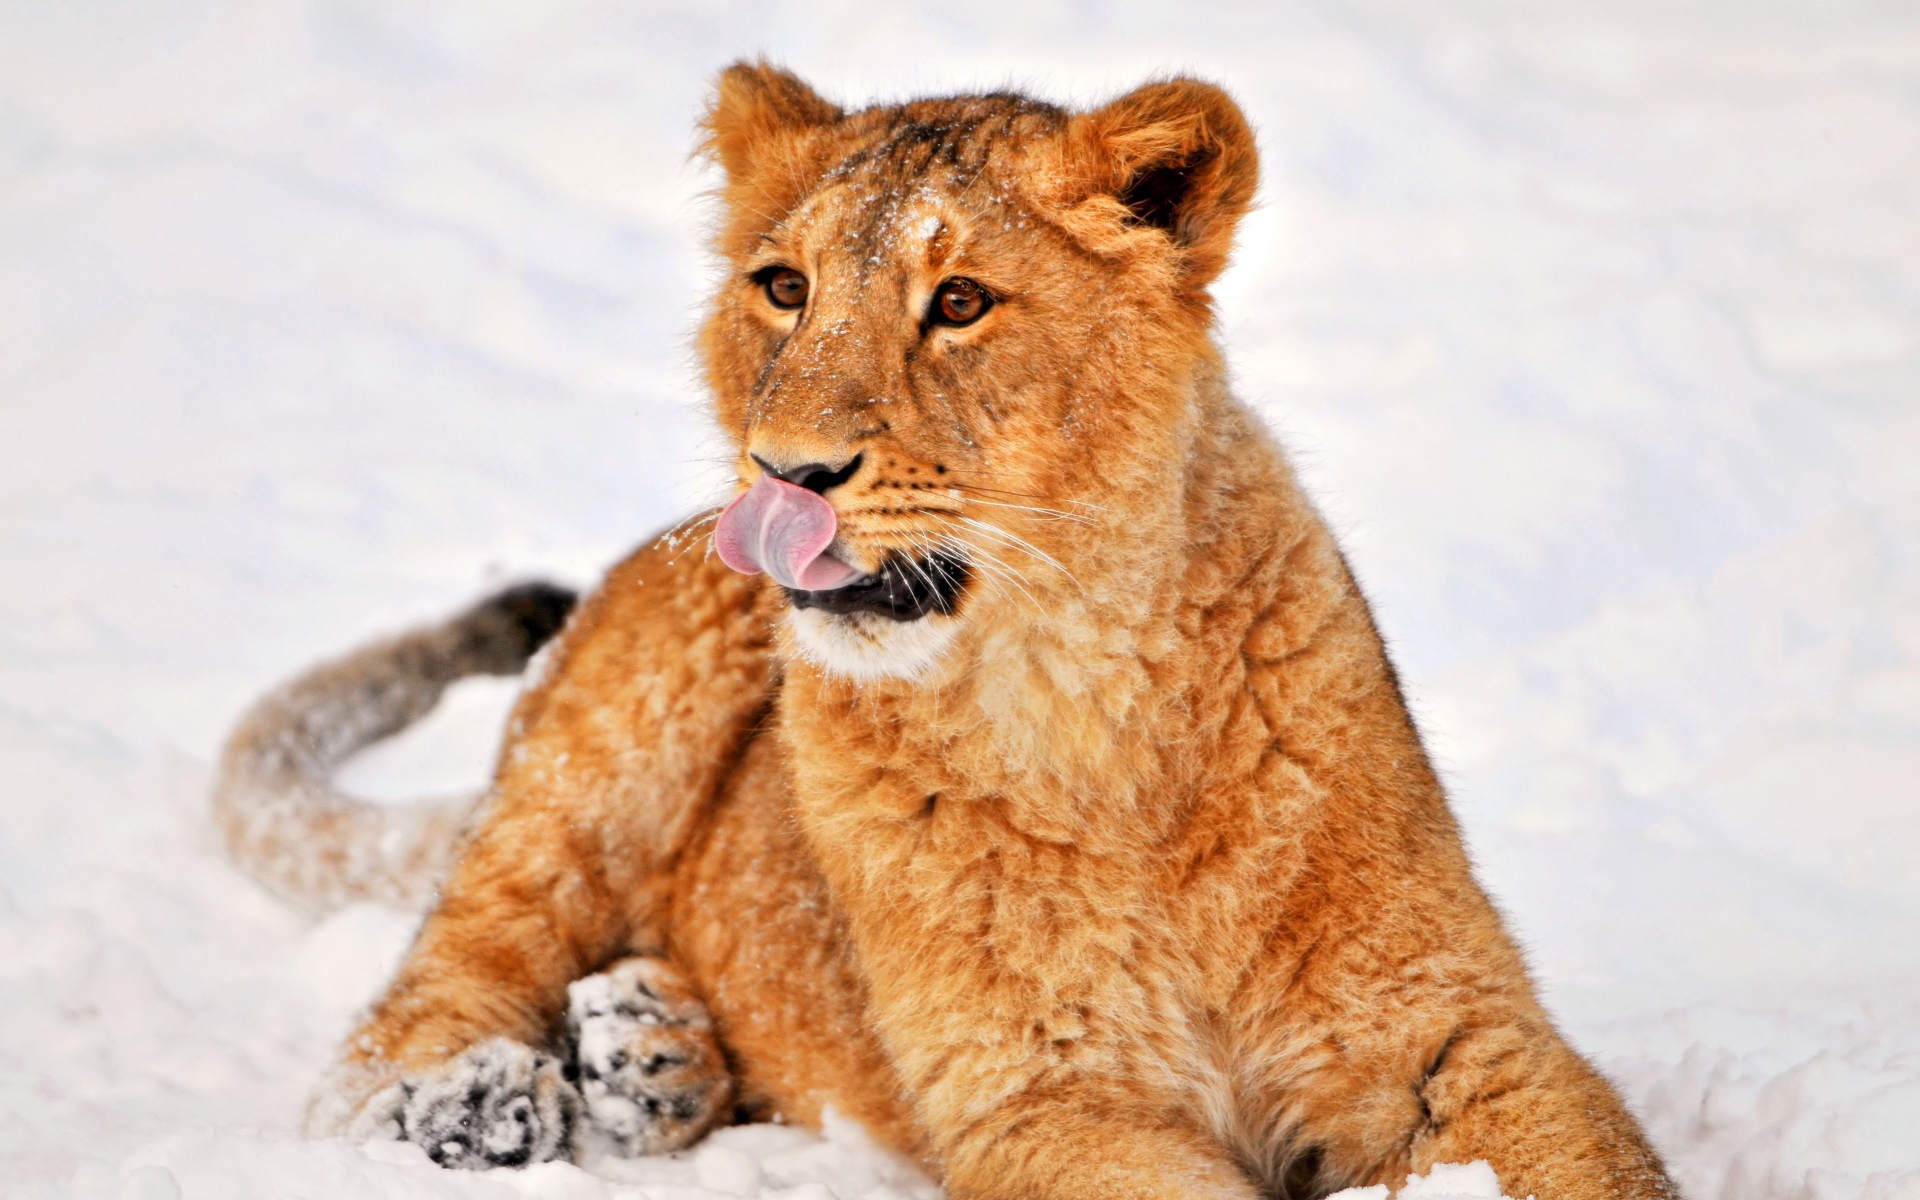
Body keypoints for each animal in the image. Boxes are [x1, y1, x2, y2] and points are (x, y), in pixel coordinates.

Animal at [215, 64, 1677, 1199]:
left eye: (961, 301)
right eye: (784, 287)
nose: (787, 472)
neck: (1086, 697)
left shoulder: (1459, 1036)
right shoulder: (1045, 1103)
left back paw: (649, 1056)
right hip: (590, 765)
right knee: (404, 1013)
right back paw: (478, 1105)